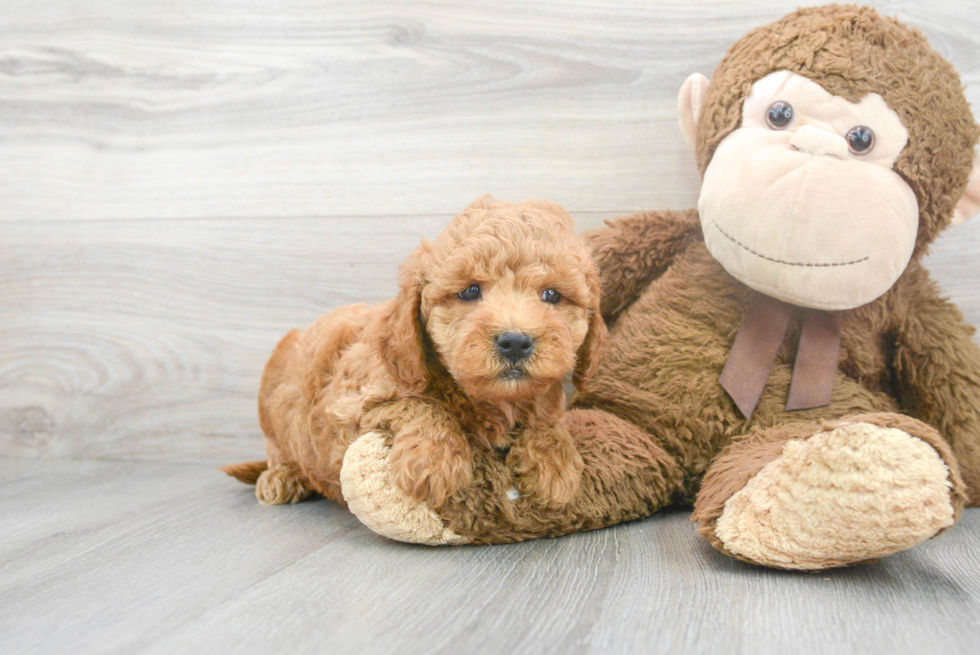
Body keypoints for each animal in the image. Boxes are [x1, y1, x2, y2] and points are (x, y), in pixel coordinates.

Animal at [224, 196, 604, 512]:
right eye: (469, 291)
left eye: (552, 295)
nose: (515, 341)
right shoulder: (348, 406)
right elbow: (420, 404)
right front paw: (432, 461)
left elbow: (548, 421)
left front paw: (555, 463)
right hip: (274, 398)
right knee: (278, 449)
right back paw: (281, 478)